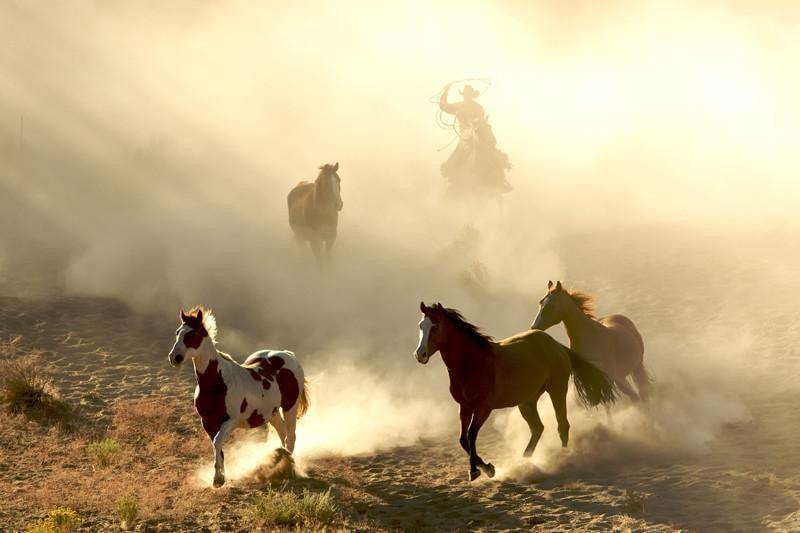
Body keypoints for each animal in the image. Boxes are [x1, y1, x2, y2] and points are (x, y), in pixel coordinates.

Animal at [167, 307, 309, 488]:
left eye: (193, 334)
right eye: (178, 332)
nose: (174, 358)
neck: (218, 383)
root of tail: (287, 354)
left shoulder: (230, 421)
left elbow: (217, 442)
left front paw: (218, 479)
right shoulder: (207, 422)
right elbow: (218, 448)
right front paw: (220, 479)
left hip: (290, 407)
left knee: (291, 437)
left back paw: (289, 470)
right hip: (272, 413)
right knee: (282, 434)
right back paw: (281, 462)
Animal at [414, 302, 616, 482]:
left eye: (435, 326)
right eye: (421, 326)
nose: (419, 355)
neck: (473, 363)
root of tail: (557, 345)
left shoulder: (483, 408)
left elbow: (471, 436)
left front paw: (477, 471)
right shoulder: (465, 407)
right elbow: (463, 439)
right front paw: (487, 468)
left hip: (557, 390)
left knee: (562, 425)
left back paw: (563, 458)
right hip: (527, 402)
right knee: (538, 428)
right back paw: (524, 460)